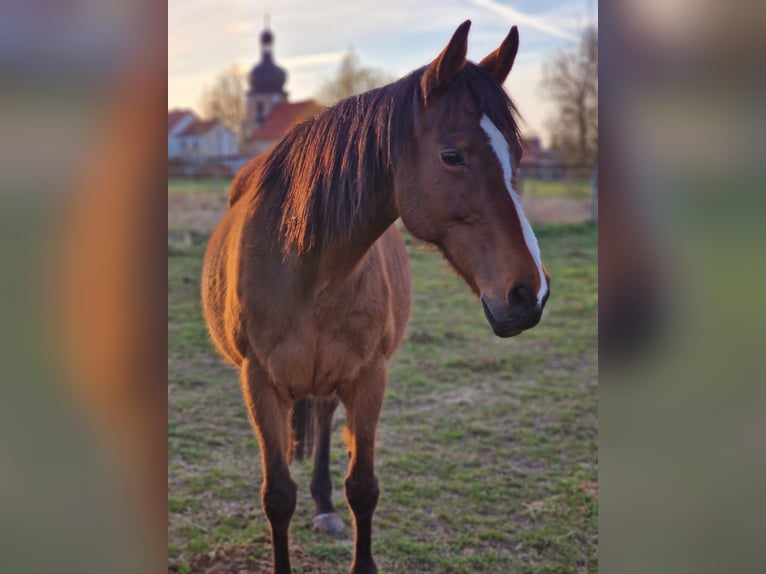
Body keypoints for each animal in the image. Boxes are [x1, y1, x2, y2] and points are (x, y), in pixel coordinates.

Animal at [201, 20, 549, 574]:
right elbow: (277, 495)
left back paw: (324, 506)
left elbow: (362, 487)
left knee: (323, 420)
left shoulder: (369, 378)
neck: (308, 271)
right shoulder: (260, 384)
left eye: (517, 156)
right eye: (452, 155)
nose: (528, 294)